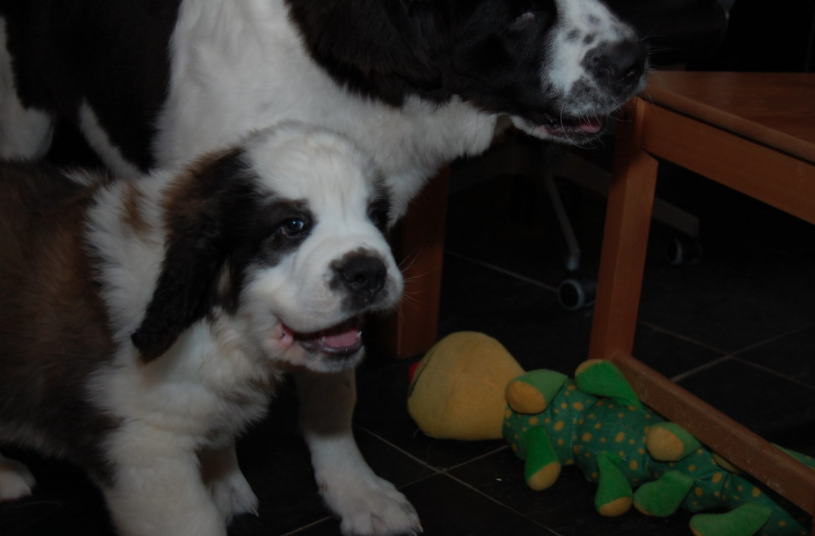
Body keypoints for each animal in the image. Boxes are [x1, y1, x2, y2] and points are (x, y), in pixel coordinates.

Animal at [0, 123, 414, 536]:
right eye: (292, 226)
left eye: (375, 216)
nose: (368, 273)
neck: (217, 321)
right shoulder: (143, 448)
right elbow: (193, 519)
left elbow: (332, 405)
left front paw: (361, 493)